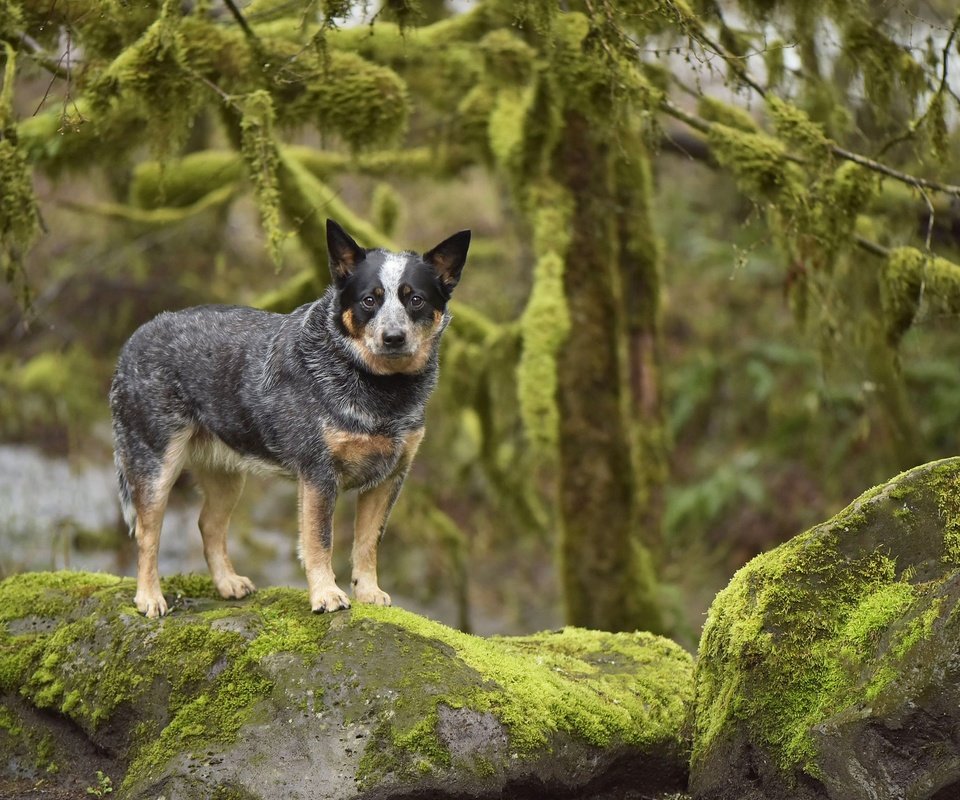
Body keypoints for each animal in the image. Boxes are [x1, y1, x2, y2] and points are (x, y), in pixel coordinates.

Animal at [110, 219, 470, 620]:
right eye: (369, 299)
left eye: (415, 299)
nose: (393, 337)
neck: (381, 392)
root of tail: (135, 339)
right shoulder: (318, 474)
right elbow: (320, 540)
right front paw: (326, 595)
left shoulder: (390, 477)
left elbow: (367, 542)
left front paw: (369, 592)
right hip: (156, 465)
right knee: (147, 533)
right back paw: (149, 598)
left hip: (227, 474)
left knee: (209, 525)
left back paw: (228, 583)